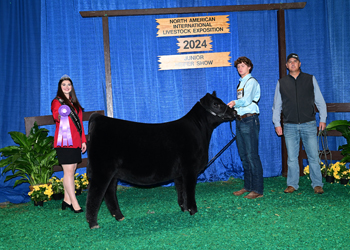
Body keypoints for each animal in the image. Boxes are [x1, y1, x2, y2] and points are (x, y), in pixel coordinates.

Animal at [86, 92, 237, 229]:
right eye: (216, 104)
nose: (234, 111)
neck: (200, 131)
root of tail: (98, 117)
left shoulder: (180, 174)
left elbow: (181, 191)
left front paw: (184, 209)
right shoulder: (190, 169)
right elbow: (189, 191)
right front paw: (193, 211)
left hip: (112, 174)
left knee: (109, 193)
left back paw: (119, 217)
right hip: (102, 171)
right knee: (94, 195)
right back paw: (93, 224)